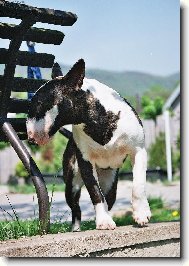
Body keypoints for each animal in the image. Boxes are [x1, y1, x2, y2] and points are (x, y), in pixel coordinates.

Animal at [26, 58, 151, 231]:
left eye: (38, 103)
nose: (30, 137)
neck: (95, 119)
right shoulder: (85, 161)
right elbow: (95, 191)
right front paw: (104, 221)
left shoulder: (138, 151)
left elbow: (138, 185)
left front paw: (141, 214)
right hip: (71, 183)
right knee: (76, 207)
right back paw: (76, 228)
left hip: (110, 183)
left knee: (108, 198)